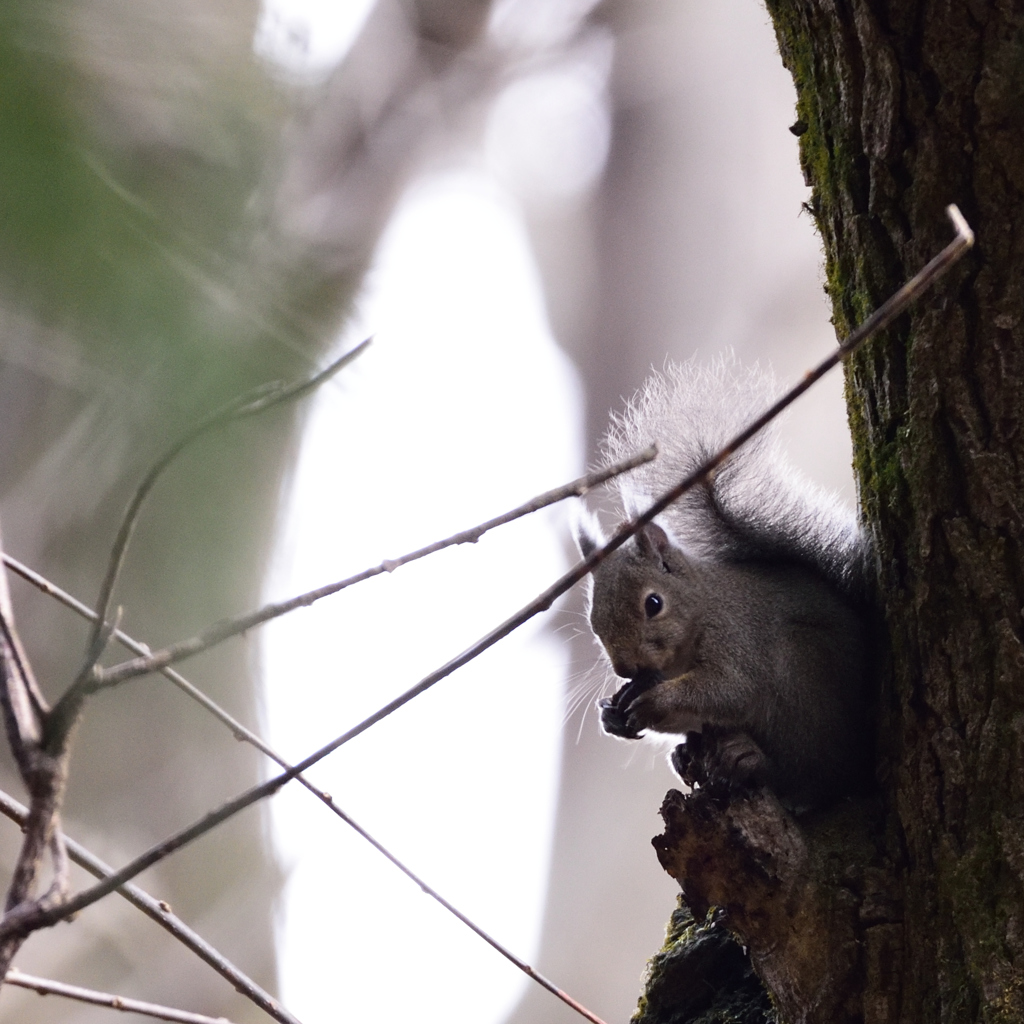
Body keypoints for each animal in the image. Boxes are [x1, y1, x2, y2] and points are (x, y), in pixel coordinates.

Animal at [581, 358, 876, 806]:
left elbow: (728, 689)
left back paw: (752, 761)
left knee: (809, 776)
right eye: (593, 623)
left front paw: (655, 700)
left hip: (801, 681)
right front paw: (614, 715)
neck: (701, 609)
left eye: (654, 604)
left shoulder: (736, 638)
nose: (626, 667)